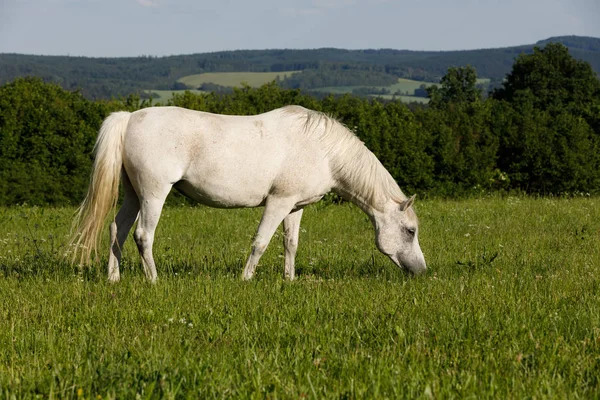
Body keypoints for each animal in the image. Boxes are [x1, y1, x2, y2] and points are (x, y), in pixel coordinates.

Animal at [71, 104, 426, 282]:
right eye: (410, 231)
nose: (421, 271)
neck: (323, 150)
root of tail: (130, 117)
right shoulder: (278, 202)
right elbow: (260, 242)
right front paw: (246, 278)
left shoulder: (294, 206)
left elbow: (290, 244)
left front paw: (289, 280)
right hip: (154, 193)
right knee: (143, 235)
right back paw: (154, 280)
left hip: (133, 194)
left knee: (117, 230)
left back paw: (113, 278)